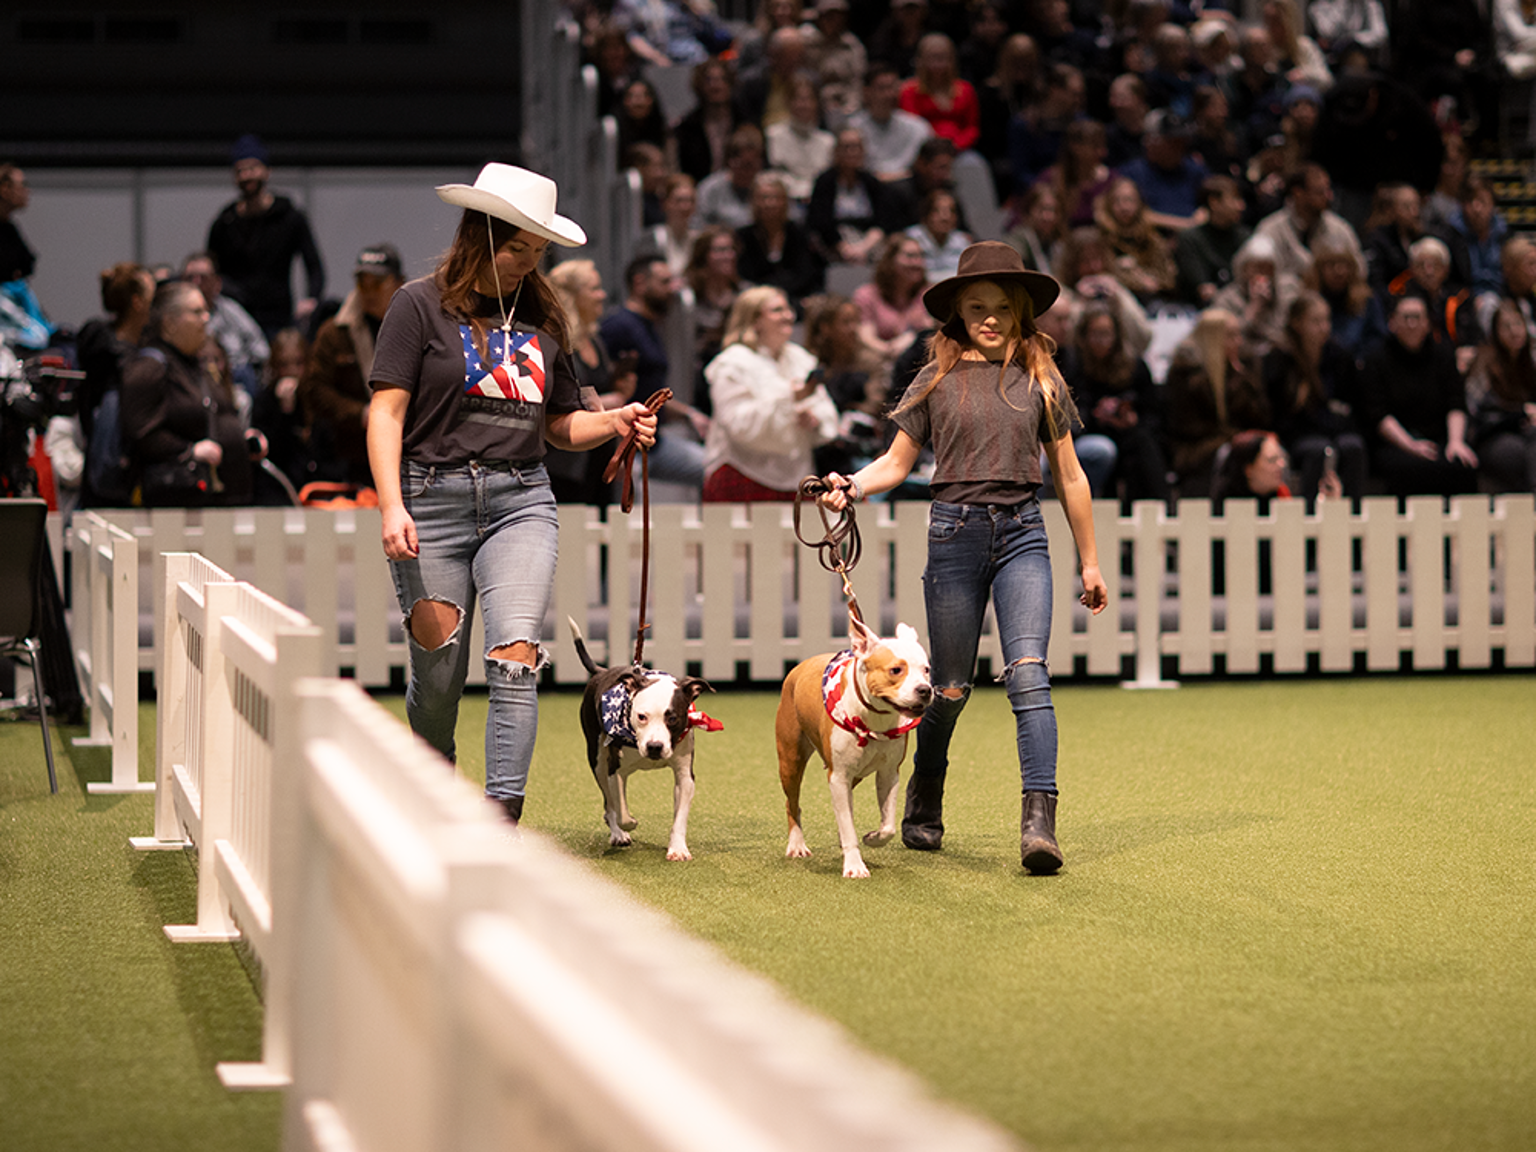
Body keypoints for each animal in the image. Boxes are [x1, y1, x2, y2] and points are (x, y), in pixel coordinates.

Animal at [568, 623, 715, 860]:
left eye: (672, 718)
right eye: (641, 716)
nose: (655, 747)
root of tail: (602, 671)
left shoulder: (685, 776)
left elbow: (680, 817)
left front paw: (678, 848)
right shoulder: (614, 769)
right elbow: (620, 811)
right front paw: (627, 825)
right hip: (597, 761)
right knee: (609, 802)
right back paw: (618, 834)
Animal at [774, 626, 927, 878]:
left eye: (926, 670)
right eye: (896, 670)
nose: (925, 689)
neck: (873, 719)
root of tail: (801, 665)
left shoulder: (888, 773)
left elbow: (888, 826)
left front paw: (873, 838)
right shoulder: (838, 776)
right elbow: (847, 823)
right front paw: (855, 865)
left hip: (854, 775)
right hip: (790, 761)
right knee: (791, 802)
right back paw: (796, 844)